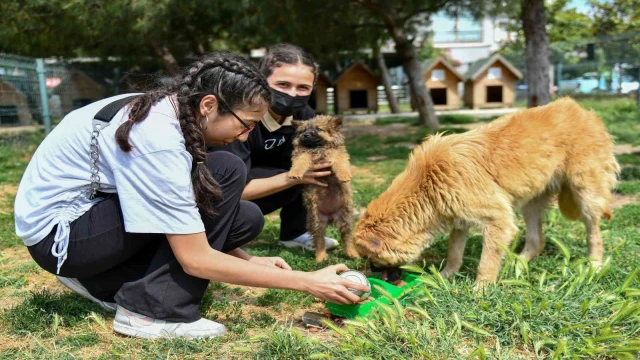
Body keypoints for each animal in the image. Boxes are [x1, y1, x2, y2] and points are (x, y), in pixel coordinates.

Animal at [288, 115, 358, 262]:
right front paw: (294, 173)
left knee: (347, 238)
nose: (305, 135)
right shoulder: (303, 154)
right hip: (316, 221)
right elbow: (300, 161)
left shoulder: (336, 153)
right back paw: (321, 257)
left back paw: (352, 253)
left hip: (346, 220)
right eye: (303, 130)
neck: (318, 147)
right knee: (319, 240)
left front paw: (344, 175)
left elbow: (340, 162)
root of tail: (330, 217)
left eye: (319, 129)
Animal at [352, 97, 616, 286]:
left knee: (594, 232)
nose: (372, 276)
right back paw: (517, 263)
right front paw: (446, 277)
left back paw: (594, 264)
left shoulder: (497, 220)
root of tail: (583, 111)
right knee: (536, 239)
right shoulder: (458, 220)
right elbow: (454, 253)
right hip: (530, 203)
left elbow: (486, 262)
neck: (427, 183)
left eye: (371, 259)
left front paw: (481, 289)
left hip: (586, 194)